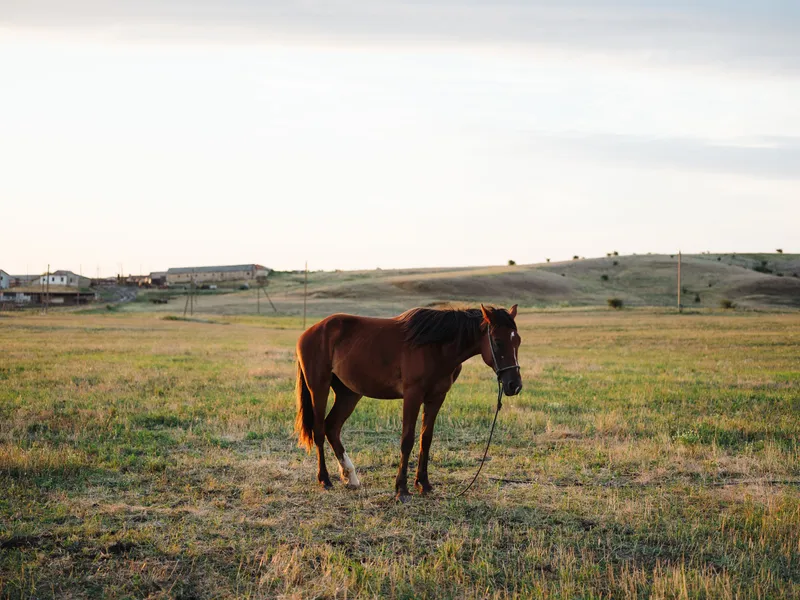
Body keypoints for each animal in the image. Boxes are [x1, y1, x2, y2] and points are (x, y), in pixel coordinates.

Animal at [294, 303, 523, 501]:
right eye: (498, 341)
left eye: (518, 341)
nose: (514, 385)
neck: (436, 347)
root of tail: (310, 332)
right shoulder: (412, 395)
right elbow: (407, 440)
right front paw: (401, 489)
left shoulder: (436, 398)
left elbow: (426, 439)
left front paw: (424, 484)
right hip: (319, 388)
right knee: (319, 430)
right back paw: (325, 479)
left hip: (349, 393)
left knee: (332, 427)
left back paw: (350, 477)